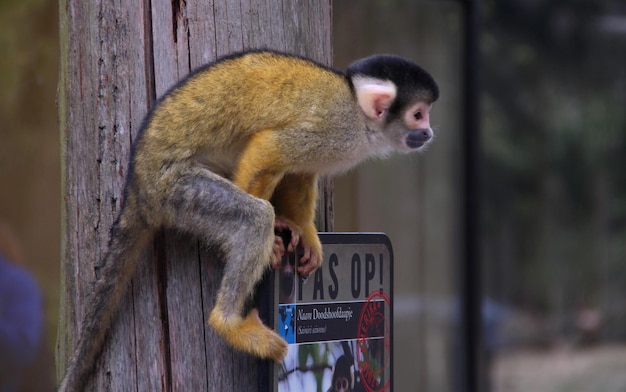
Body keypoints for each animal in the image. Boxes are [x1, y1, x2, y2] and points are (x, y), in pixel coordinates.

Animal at [59, 50, 438, 390]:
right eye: (418, 115)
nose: (430, 133)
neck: (361, 118)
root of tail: (137, 185)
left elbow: (299, 171)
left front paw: (304, 231)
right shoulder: (336, 131)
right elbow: (270, 148)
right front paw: (275, 237)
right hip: (175, 189)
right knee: (252, 216)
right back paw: (228, 321)